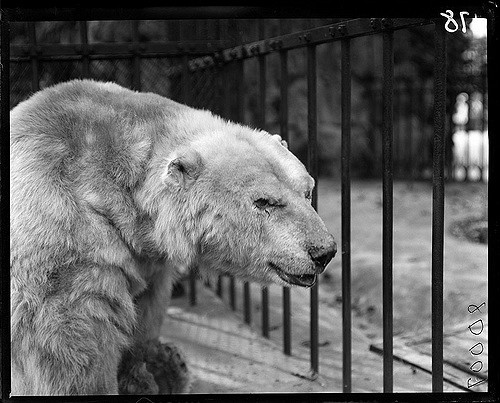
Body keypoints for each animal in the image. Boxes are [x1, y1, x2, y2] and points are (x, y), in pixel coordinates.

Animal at [9, 79, 336, 398]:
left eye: (307, 191)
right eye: (264, 201)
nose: (324, 251)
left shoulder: (146, 253)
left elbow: (147, 304)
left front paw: (149, 371)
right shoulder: (65, 233)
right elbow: (70, 338)